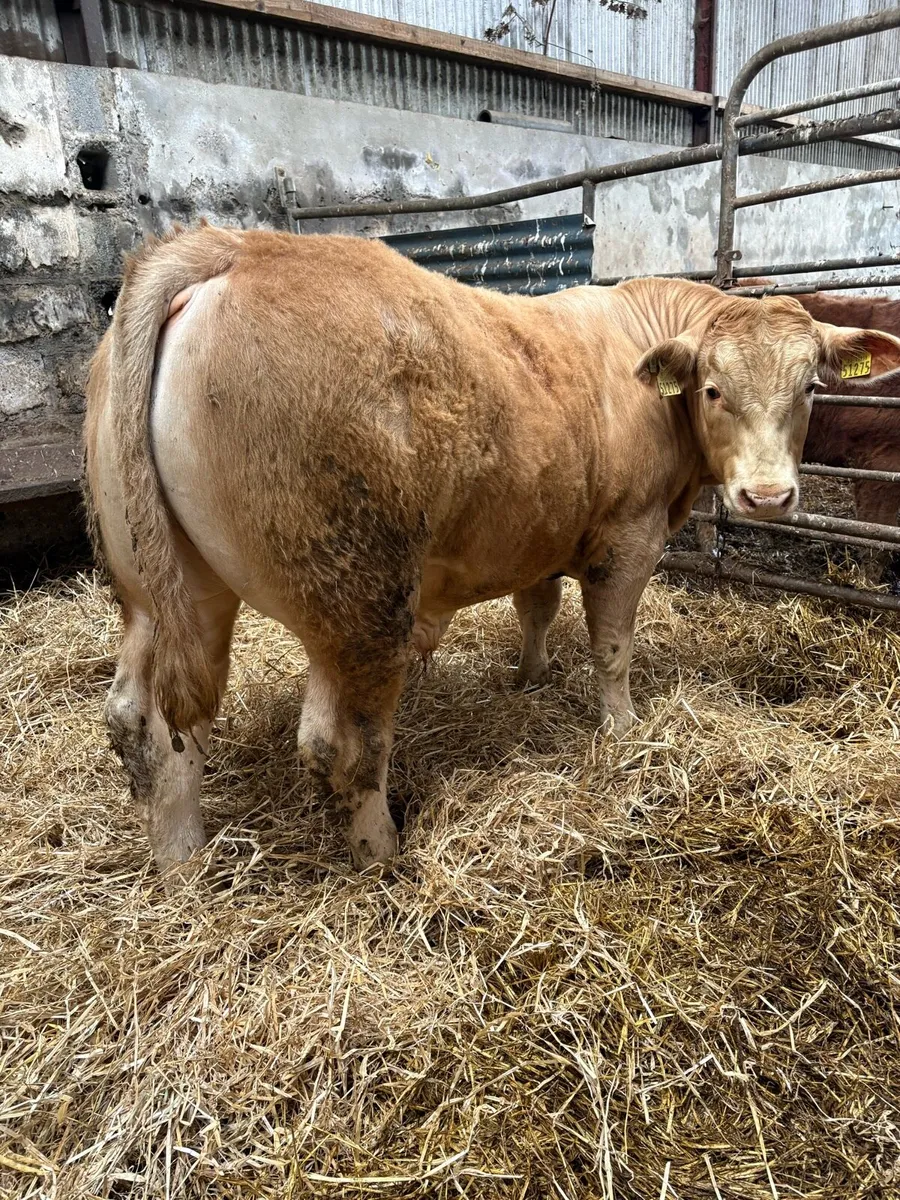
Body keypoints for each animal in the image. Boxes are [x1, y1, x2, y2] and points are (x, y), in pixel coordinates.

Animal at [83, 225, 900, 876]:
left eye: (810, 386)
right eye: (712, 389)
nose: (767, 497)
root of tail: (236, 245)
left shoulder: (543, 534)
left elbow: (536, 606)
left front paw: (530, 678)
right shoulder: (628, 536)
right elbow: (612, 645)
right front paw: (623, 729)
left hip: (163, 589)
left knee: (149, 720)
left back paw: (180, 862)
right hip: (360, 602)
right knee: (341, 743)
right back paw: (383, 854)